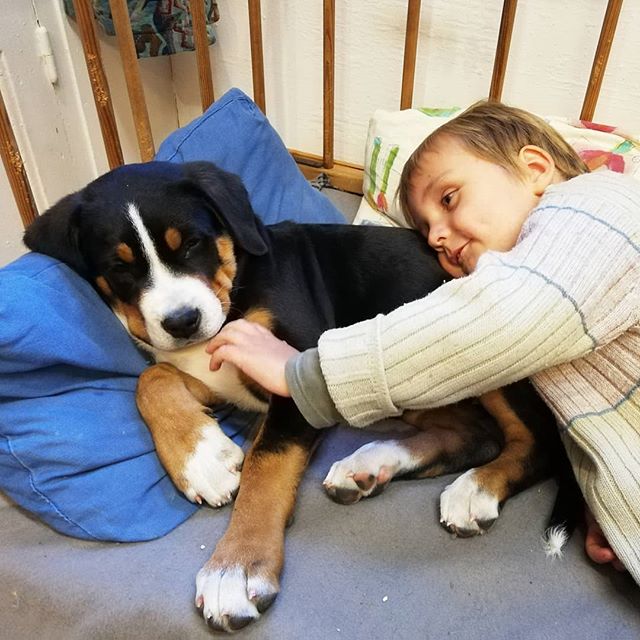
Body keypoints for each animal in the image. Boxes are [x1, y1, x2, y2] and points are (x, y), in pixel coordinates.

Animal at [23, 162, 576, 632]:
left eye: (193, 244)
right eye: (120, 268)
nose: (182, 321)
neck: (237, 284)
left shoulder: (292, 378)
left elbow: (265, 466)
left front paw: (235, 567)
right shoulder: (215, 376)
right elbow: (152, 380)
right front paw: (201, 458)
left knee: (533, 444)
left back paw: (476, 489)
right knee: (471, 434)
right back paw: (370, 464)